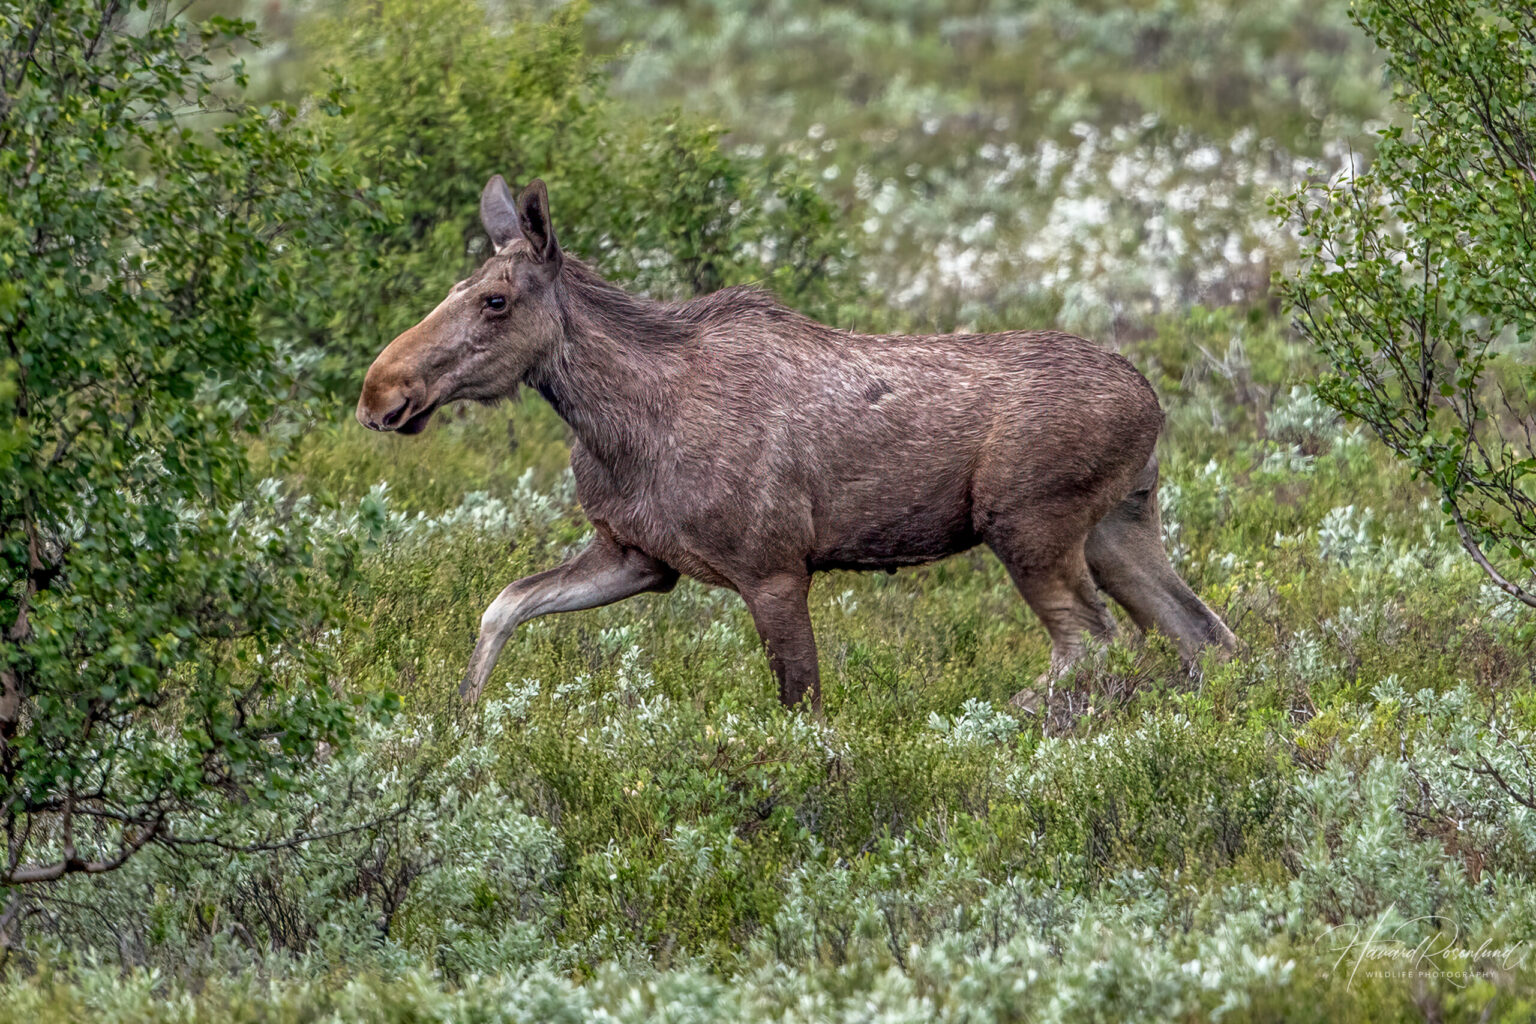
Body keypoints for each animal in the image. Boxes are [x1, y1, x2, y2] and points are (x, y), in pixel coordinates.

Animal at [356, 175, 1237, 713]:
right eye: (456, 289)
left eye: (496, 301)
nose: (380, 393)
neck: (617, 426)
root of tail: (1154, 402)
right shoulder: (637, 557)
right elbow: (503, 605)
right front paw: (462, 718)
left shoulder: (773, 569)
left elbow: (800, 706)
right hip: (1119, 524)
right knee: (1203, 636)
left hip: (1026, 524)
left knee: (1091, 644)